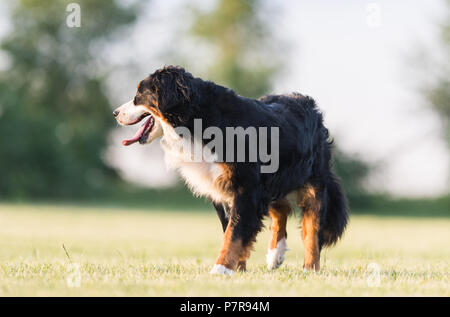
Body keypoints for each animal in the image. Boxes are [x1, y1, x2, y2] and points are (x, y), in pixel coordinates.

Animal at [113, 65, 348, 274]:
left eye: (139, 94)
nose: (115, 112)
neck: (199, 121)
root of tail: (307, 103)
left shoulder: (246, 188)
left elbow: (234, 233)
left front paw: (221, 269)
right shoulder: (223, 190)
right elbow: (232, 229)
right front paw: (238, 268)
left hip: (312, 185)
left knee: (312, 230)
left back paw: (310, 268)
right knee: (281, 209)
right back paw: (275, 254)